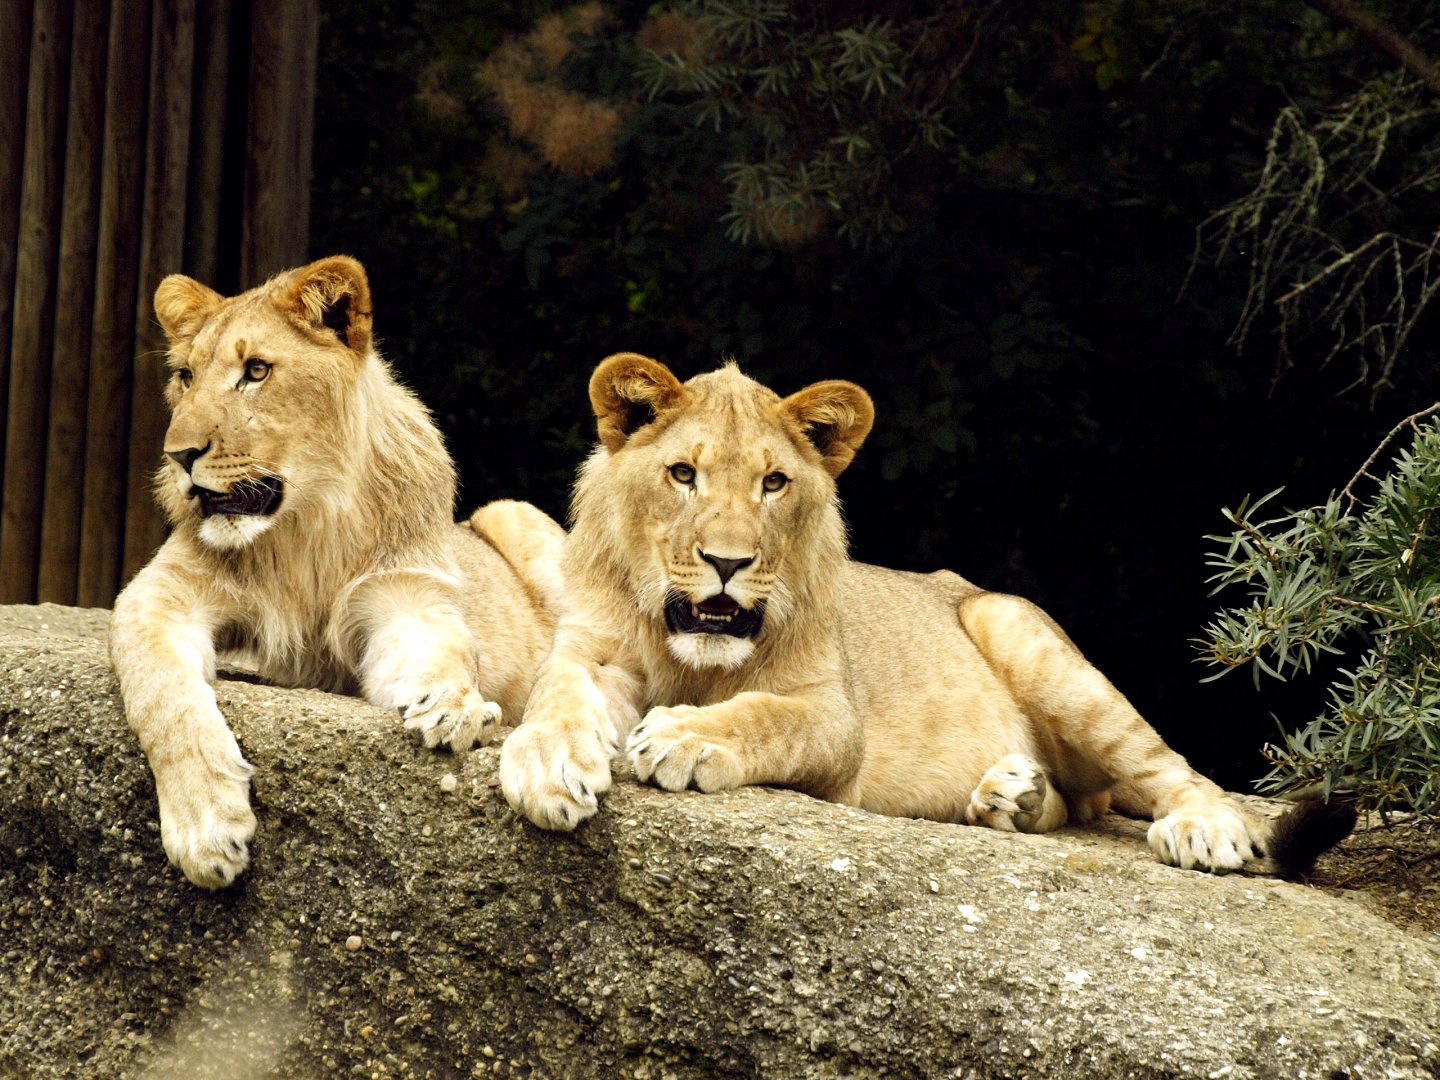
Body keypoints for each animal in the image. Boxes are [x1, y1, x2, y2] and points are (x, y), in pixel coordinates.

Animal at [109, 255, 564, 889]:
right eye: (185, 377)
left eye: (255, 370)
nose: (178, 456)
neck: (306, 525)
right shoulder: (160, 595)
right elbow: (164, 697)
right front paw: (206, 824)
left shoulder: (403, 594)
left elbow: (447, 647)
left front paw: (454, 704)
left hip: (513, 513)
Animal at [498, 353, 1356, 874]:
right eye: (683, 474)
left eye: (773, 483)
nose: (729, 564)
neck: (690, 654)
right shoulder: (590, 648)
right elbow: (557, 698)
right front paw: (548, 763)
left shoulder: (833, 718)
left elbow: (763, 717)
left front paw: (683, 736)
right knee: (1078, 803)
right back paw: (1011, 796)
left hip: (1019, 632)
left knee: (1169, 767)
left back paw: (1206, 828)